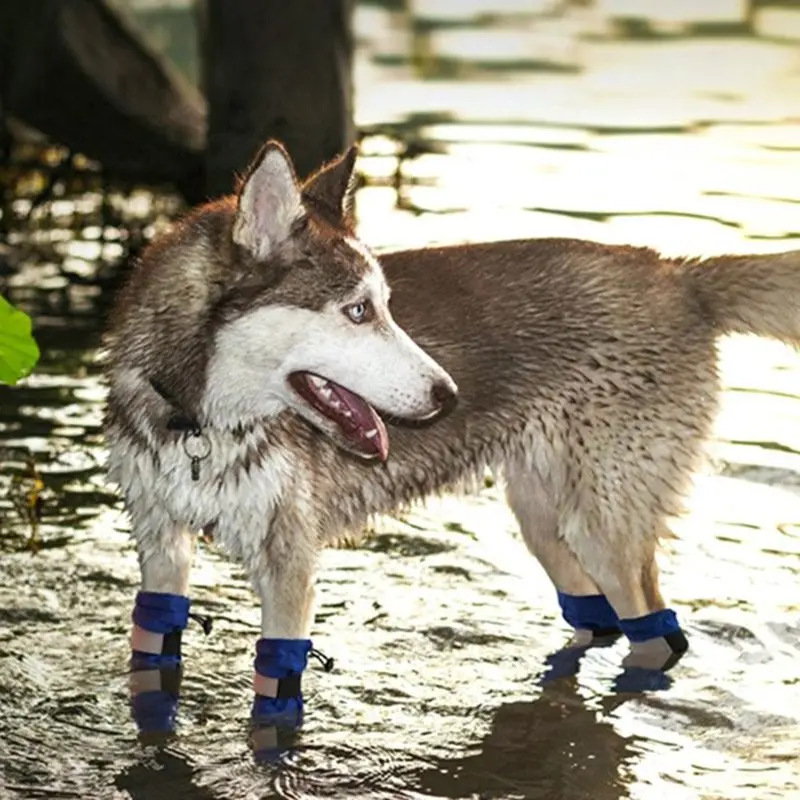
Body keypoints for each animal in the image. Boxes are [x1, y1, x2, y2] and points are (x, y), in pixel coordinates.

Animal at [106, 138, 800, 720]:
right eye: (357, 311)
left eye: (385, 307)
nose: (449, 395)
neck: (198, 423)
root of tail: (678, 272)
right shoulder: (161, 550)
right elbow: (151, 661)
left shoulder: (290, 571)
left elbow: (275, 699)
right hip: (545, 520)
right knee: (593, 617)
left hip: (605, 528)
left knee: (656, 633)